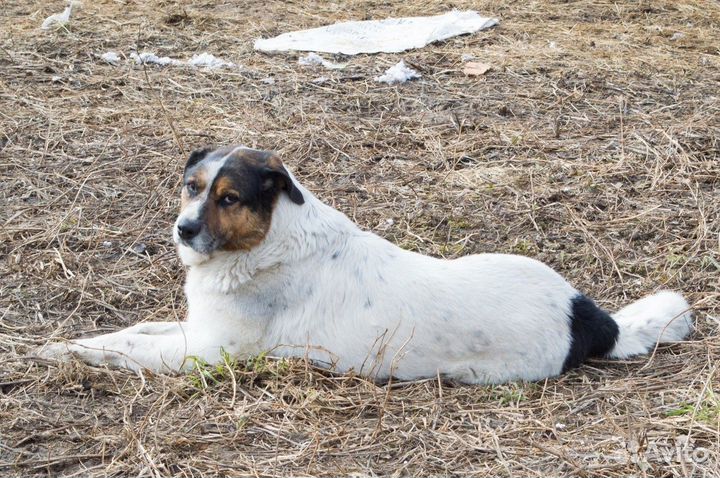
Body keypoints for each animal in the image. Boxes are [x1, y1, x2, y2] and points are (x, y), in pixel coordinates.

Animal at [38, 146, 692, 384]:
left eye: (228, 198)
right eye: (191, 187)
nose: (183, 229)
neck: (269, 243)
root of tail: (592, 316)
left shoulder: (204, 354)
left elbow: (128, 347)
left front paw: (64, 351)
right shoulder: (194, 328)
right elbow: (132, 330)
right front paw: (64, 342)